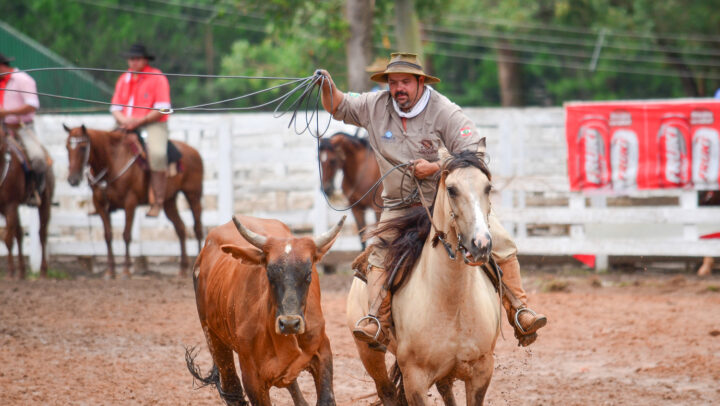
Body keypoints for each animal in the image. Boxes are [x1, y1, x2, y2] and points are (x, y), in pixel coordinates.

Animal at [0, 127, 53, 280]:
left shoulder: (10, 205)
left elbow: (7, 239)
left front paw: (10, 272)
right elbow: (11, 236)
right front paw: (13, 271)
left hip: (45, 202)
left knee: (42, 234)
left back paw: (43, 271)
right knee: (19, 233)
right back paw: (22, 271)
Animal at [63, 124, 204, 276]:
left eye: (83, 147)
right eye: (67, 147)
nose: (72, 179)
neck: (112, 162)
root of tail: (193, 150)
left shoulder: (130, 202)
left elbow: (126, 235)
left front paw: (126, 270)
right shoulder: (99, 204)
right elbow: (108, 236)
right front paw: (110, 271)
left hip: (193, 195)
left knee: (197, 229)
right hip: (169, 201)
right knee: (181, 228)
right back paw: (183, 268)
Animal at [346, 149, 498, 406]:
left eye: (487, 187)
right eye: (452, 189)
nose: (481, 244)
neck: (453, 303)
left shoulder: (482, 371)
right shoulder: (414, 379)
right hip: (368, 351)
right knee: (387, 391)